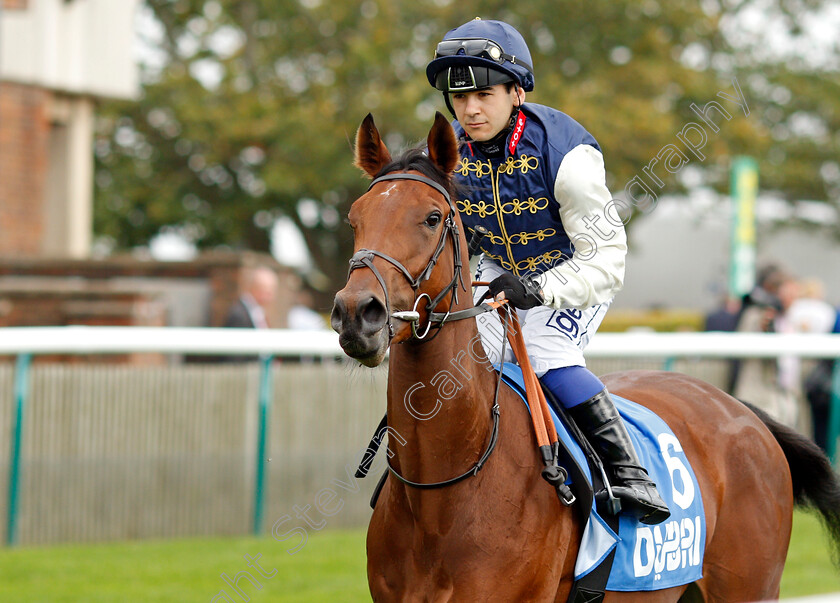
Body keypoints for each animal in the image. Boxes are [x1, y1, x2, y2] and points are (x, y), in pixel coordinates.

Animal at [330, 112, 840, 600]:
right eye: (355, 218)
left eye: (433, 217)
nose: (357, 313)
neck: (445, 488)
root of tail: (743, 411)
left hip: (750, 586)